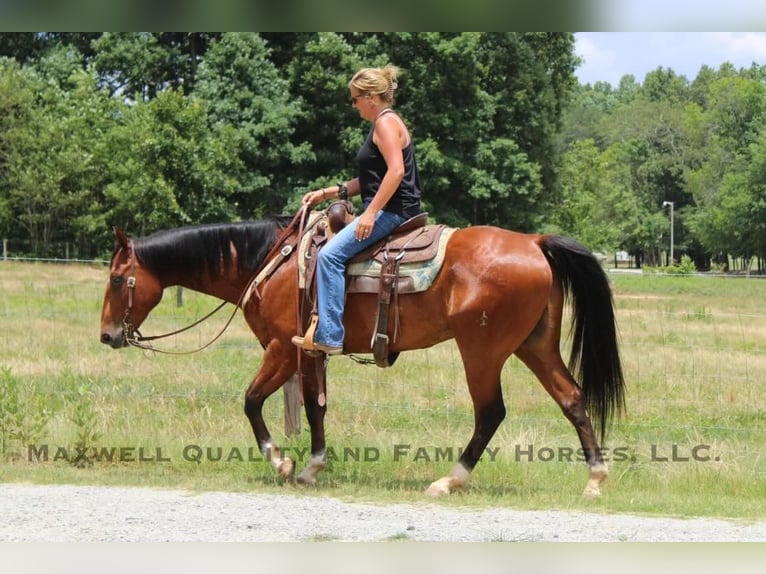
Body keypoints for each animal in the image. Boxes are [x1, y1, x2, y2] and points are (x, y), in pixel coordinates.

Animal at [99, 214, 628, 498]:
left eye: (116, 279)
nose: (107, 335)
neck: (270, 262)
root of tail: (534, 243)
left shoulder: (282, 348)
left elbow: (250, 401)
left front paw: (282, 463)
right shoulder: (310, 353)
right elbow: (315, 408)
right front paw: (312, 466)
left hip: (482, 350)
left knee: (490, 412)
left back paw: (448, 480)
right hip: (534, 345)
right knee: (572, 398)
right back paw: (595, 479)